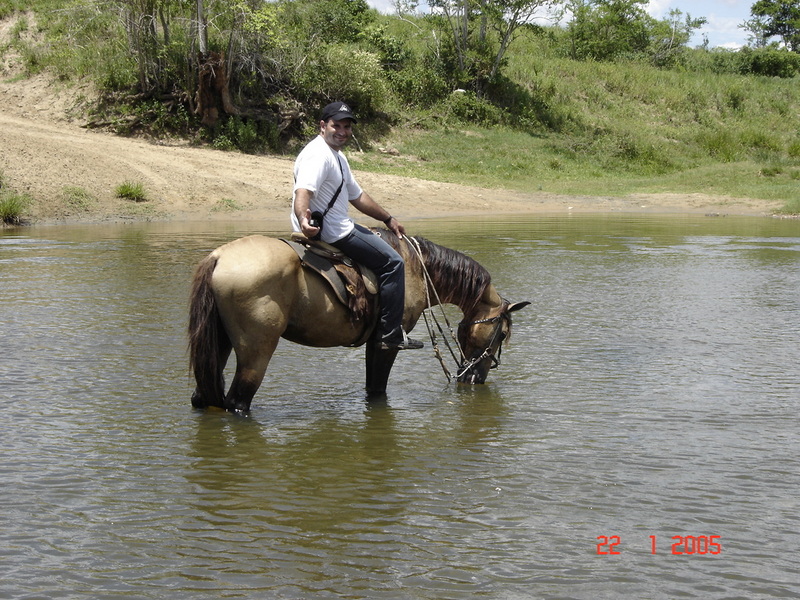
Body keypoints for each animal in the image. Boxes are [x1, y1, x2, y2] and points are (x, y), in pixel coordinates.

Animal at [184, 227, 528, 410]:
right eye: (501, 334)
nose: (475, 378)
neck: (416, 268)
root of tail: (219, 257)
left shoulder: (373, 344)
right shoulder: (387, 343)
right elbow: (377, 389)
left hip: (219, 345)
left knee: (204, 398)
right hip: (257, 351)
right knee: (238, 402)